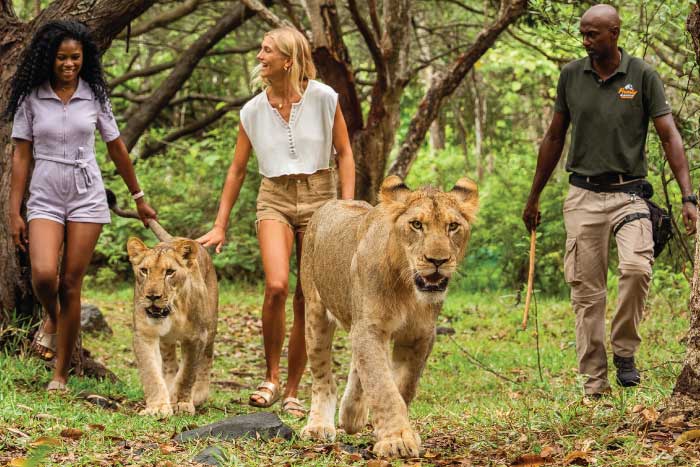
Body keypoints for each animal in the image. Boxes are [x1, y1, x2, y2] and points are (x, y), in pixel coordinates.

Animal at [299, 175, 478, 458]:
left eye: (452, 226)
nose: (437, 260)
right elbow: (382, 385)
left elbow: (402, 385)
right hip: (315, 312)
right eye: (416, 225)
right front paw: (396, 440)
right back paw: (318, 426)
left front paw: (397, 432)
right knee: (322, 377)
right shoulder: (370, 328)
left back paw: (352, 415)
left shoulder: (420, 335)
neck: (408, 288)